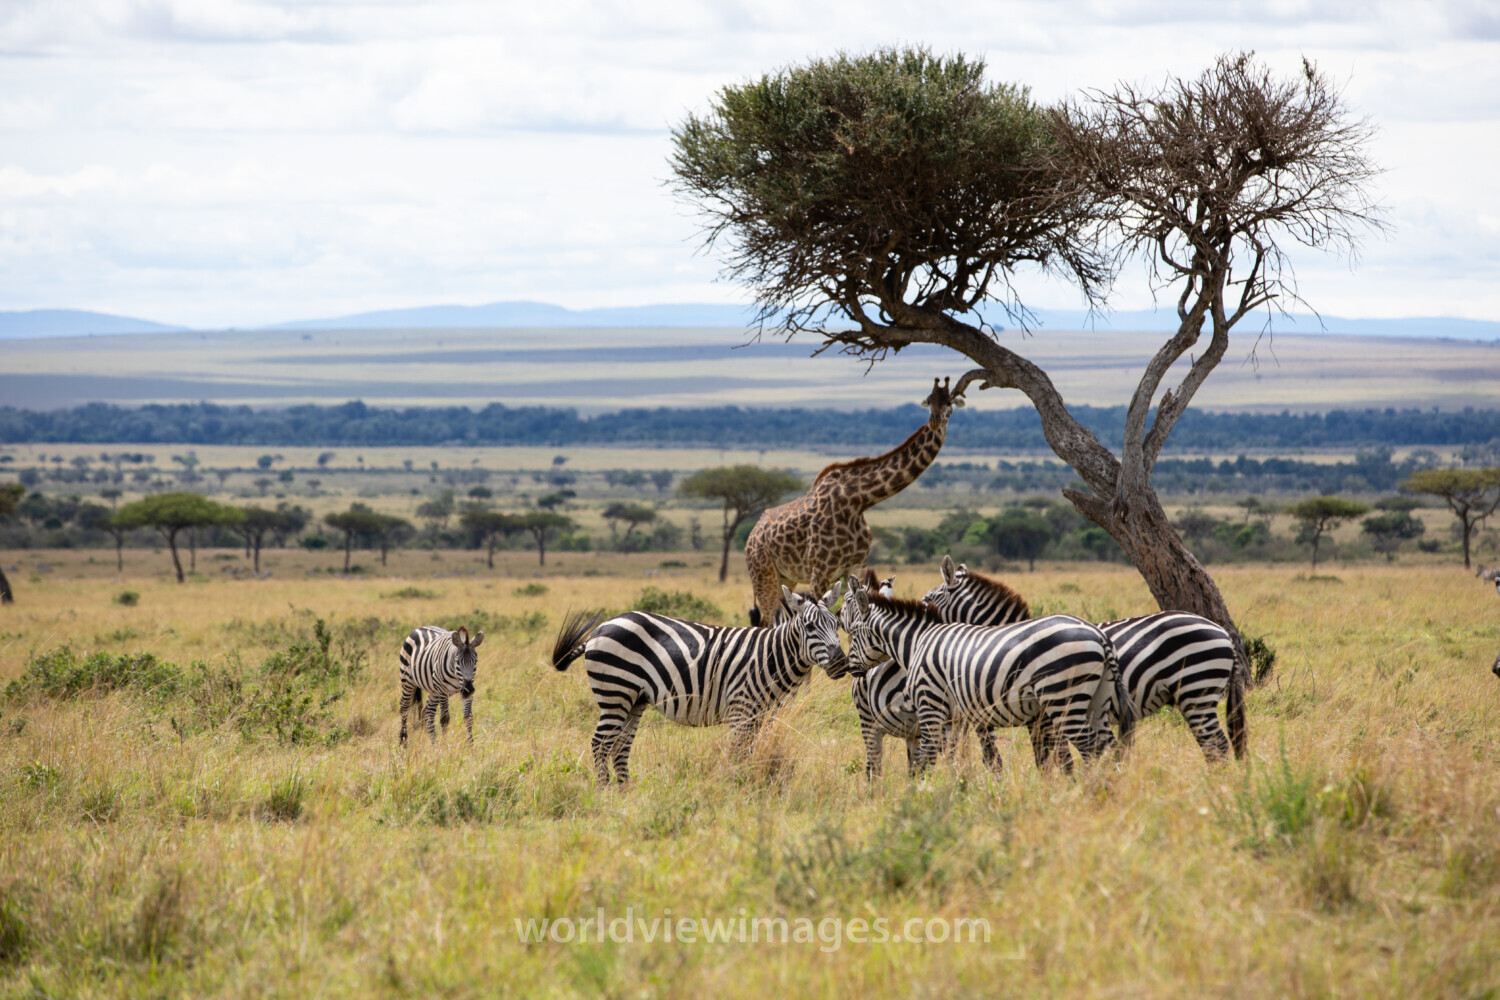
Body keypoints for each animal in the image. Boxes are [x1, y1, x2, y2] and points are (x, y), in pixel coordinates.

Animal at [551, 584, 852, 784]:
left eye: (837, 624)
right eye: (810, 628)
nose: (840, 663)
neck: (770, 657)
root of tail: (600, 628)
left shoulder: (761, 714)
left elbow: (753, 753)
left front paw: (748, 784)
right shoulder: (741, 710)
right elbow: (738, 754)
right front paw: (735, 787)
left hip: (634, 700)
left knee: (620, 746)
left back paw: (625, 792)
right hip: (615, 692)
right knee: (600, 744)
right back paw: (605, 792)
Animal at [841, 575, 1126, 774]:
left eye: (853, 632)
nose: (848, 668)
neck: (919, 642)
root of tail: (1099, 635)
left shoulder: (930, 705)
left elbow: (928, 759)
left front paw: (925, 797)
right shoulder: (959, 716)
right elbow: (963, 758)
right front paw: (960, 790)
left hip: (1063, 698)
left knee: (1091, 747)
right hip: (1096, 701)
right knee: (1109, 747)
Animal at [922, 555, 1247, 763]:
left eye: (926, 601)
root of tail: (1223, 632)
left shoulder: (1043, 716)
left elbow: (1050, 759)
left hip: (1195, 688)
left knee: (1216, 746)